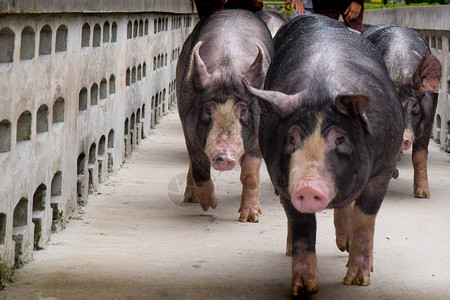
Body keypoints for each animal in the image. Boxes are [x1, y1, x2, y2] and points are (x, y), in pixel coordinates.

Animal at [177, 8, 274, 223]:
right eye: (207, 109)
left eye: (244, 110)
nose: (224, 156)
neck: (227, 67)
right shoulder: (188, 129)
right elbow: (199, 167)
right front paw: (210, 205)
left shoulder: (260, 132)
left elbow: (250, 174)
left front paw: (250, 218)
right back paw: (190, 199)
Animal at [246, 15, 404, 296]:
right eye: (292, 138)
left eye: (339, 139)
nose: (308, 187)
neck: (321, 90)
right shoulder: (283, 180)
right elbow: (303, 226)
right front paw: (304, 289)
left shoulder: (383, 169)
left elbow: (365, 219)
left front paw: (356, 282)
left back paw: (347, 250)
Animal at [364, 25, 442, 199]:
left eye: (414, 106)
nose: (402, 138)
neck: (400, 74)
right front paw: (394, 174)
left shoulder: (429, 122)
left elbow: (420, 156)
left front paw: (423, 194)